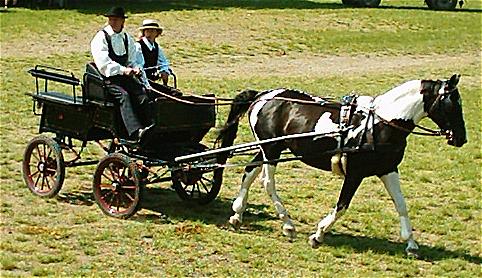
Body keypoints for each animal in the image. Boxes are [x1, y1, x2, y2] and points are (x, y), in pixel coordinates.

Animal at [217, 74, 466, 256]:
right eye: (452, 104)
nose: (461, 138)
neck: (379, 124)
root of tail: (263, 96)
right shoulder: (355, 173)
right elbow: (342, 206)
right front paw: (318, 235)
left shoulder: (388, 170)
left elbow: (401, 204)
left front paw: (411, 244)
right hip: (271, 150)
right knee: (267, 182)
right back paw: (287, 224)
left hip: (269, 149)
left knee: (249, 171)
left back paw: (237, 214)